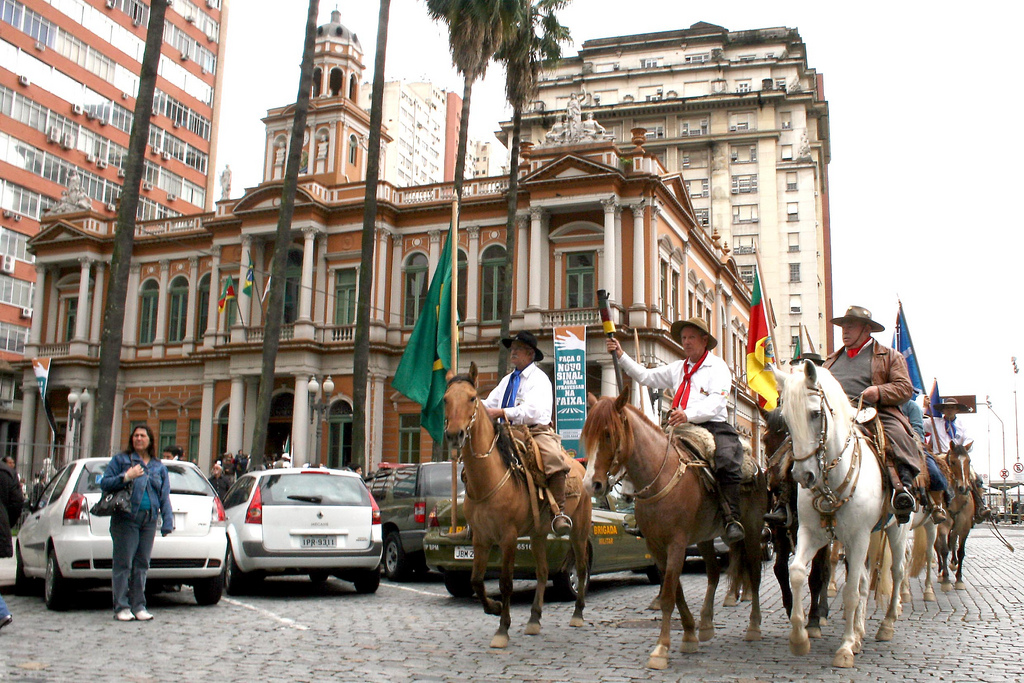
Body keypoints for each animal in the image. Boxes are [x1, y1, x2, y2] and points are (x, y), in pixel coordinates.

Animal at [442, 366, 593, 651]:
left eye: (471, 398)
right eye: (445, 399)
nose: (454, 434)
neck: (488, 478)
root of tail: (580, 468)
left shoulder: (509, 538)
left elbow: (506, 582)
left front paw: (503, 629)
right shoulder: (481, 538)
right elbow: (476, 580)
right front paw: (493, 607)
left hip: (579, 530)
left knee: (580, 568)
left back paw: (578, 614)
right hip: (538, 534)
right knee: (542, 572)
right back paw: (534, 619)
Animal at [581, 387, 765, 671]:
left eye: (609, 434)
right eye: (587, 434)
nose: (592, 484)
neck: (660, 475)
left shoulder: (677, 544)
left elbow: (668, 594)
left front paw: (661, 649)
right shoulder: (656, 547)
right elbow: (675, 591)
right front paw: (689, 633)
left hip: (753, 530)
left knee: (754, 575)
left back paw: (754, 626)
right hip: (705, 537)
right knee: (713, 574)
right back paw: (706, 623)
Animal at [774, 362, 913, 667]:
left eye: (815, 414)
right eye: (786, 420)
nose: (803, 476)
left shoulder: (859, 537)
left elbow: (849, 592)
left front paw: (846, 647)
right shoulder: (811, 534)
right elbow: (798, 573)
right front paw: (799, 638)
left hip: (896, 530)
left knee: (897, 572)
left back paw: (886, 625)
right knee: (863, 581)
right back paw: (860, 632)